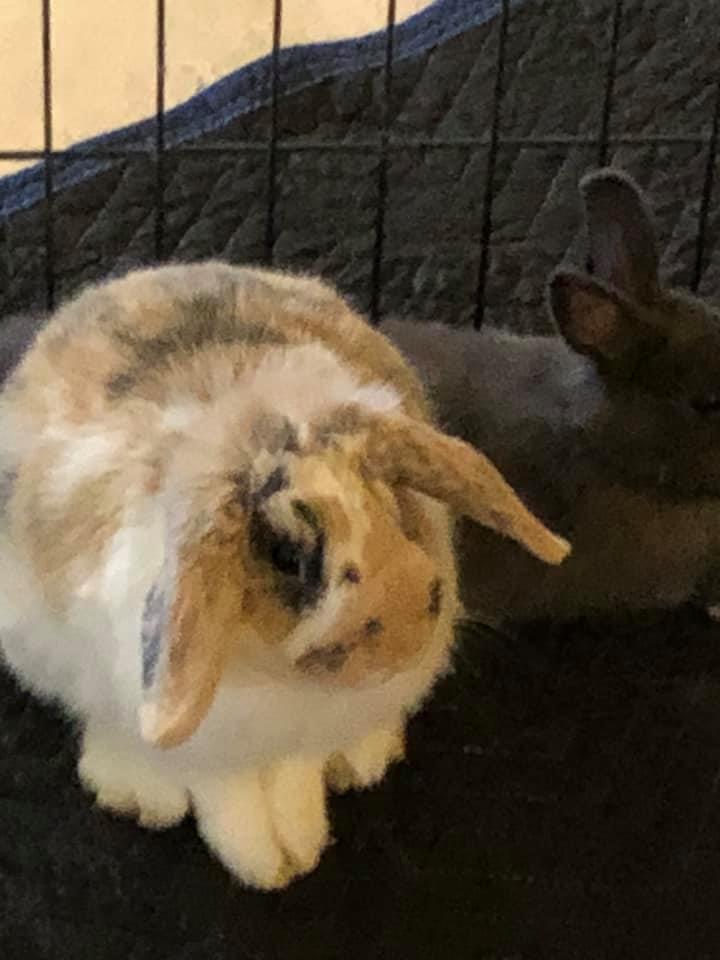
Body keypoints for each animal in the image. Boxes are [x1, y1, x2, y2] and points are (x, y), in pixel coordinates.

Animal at [0, 260, 569, 891]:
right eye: (285, 554)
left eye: (392, 503)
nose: (407, 615)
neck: (276, 679)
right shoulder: (207, 746)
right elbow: (226, 793)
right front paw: (265, 865)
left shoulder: (301, 737)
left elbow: (294, 779)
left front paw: (296, 843)